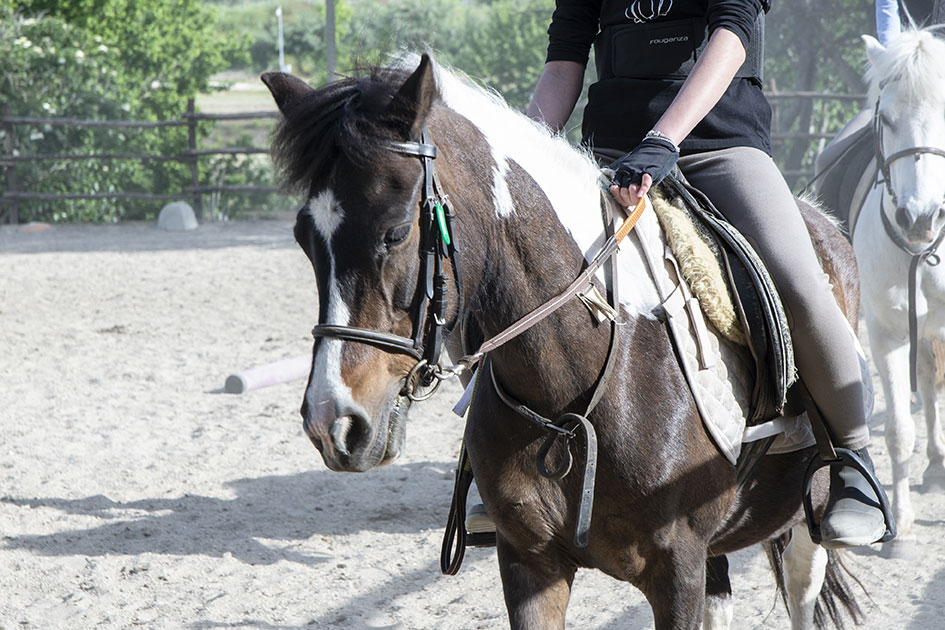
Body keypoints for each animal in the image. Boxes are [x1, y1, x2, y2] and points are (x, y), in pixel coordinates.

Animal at [260, 56, 864, 628]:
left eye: (396, 233)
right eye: (304, 240)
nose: (332, 421)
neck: (575, 393)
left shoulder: (678, 570)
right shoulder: (531, 562)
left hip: (803, 516)